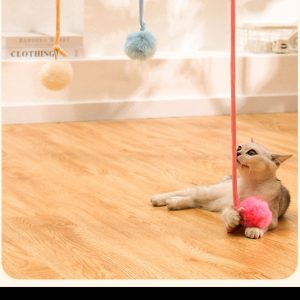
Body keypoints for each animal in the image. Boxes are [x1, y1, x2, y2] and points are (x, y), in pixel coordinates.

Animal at [151, 140, 292, 239]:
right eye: (239, 147)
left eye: (252, 153)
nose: (237, 152)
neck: (251, 185)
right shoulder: (231, 205)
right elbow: (228, 212)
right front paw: (232, 219)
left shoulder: (272, 215)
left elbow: (265, 223)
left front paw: (254, 229)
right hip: (208, 192)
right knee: (187, 192)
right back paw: (158, 199)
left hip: (210, 203)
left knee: (193, 200)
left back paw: (173, 203)